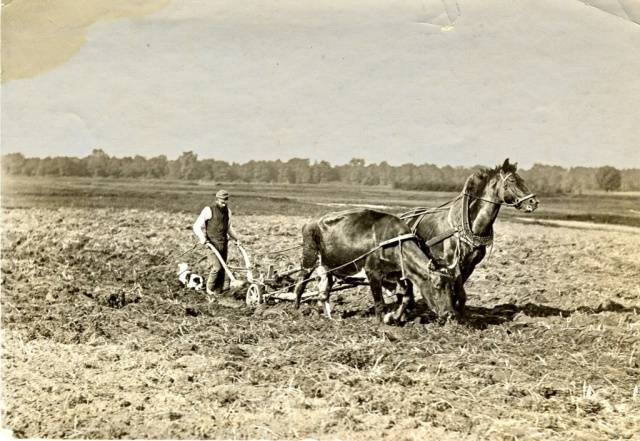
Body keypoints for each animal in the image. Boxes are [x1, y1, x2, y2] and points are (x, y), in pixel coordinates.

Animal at [292, 206, 458, 324]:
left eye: (451, 286)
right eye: (437, 285)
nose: (450, 314)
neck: (394, 242)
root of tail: (310, 222)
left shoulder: (397, 274)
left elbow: (405, 297)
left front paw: (394, 317)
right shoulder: (373, 273)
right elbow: (380, 302)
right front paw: (381, 322)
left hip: (328, 267)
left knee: (323, 292)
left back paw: (328, 317)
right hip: (309, 257)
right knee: (300, 284)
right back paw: (296, 311)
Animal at [402, 158, 536, 312]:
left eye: (522, 179)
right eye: (513, 180)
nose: (534, 202)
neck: (468, 225)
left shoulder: (470, 264)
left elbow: (459, 294)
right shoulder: (452, 264)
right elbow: (457, 291)